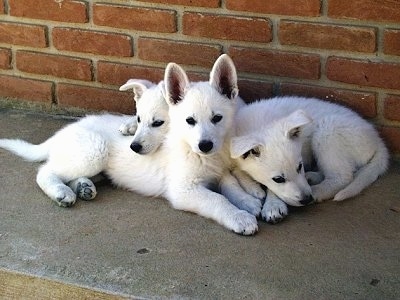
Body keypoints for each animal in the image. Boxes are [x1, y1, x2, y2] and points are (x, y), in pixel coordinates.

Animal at [230, 96, 390, 223]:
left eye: (299, 166)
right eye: (278, 179)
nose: (307, 199)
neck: (260, 124)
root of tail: (377, 140)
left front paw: (273, 205)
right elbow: (238, 170)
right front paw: (252, 186)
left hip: (327, 131)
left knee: (342, 176)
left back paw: (317, 191)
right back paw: (312, 178)